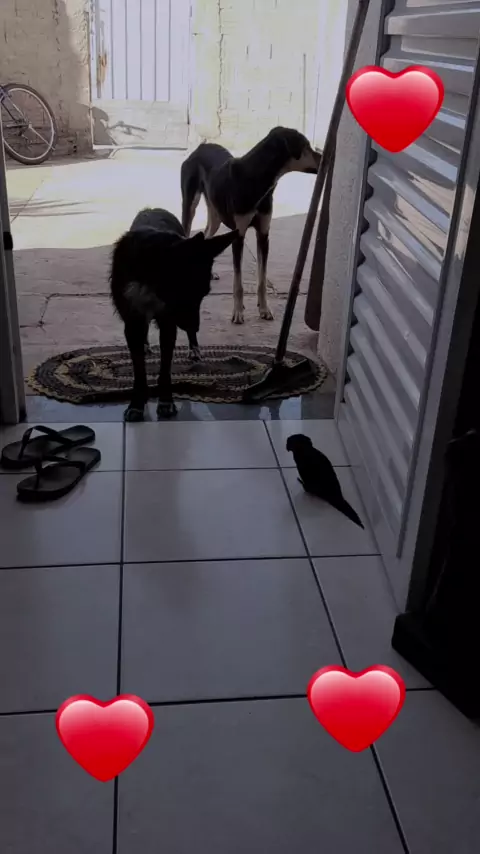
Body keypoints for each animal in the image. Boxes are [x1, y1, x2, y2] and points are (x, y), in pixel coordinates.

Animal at [110, 207, 237, 421]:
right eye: (184, 291)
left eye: (203, 293)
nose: (195, 326)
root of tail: (153, 209)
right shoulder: (132, 322)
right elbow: (139, 370)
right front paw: (137, 404)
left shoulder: (169, 323)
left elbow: (165, 369)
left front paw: (166, 402)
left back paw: (194, 349)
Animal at [180, 127, 321, 324]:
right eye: (306, 146)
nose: (324, 157)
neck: (257, 178)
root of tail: (200, 148)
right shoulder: (238, 235)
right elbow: (238, 283)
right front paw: (238, 312)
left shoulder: (263, 234)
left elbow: (262, 280)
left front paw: (264, 309)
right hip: (190, 204)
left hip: (216, 214)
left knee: (207, 233)